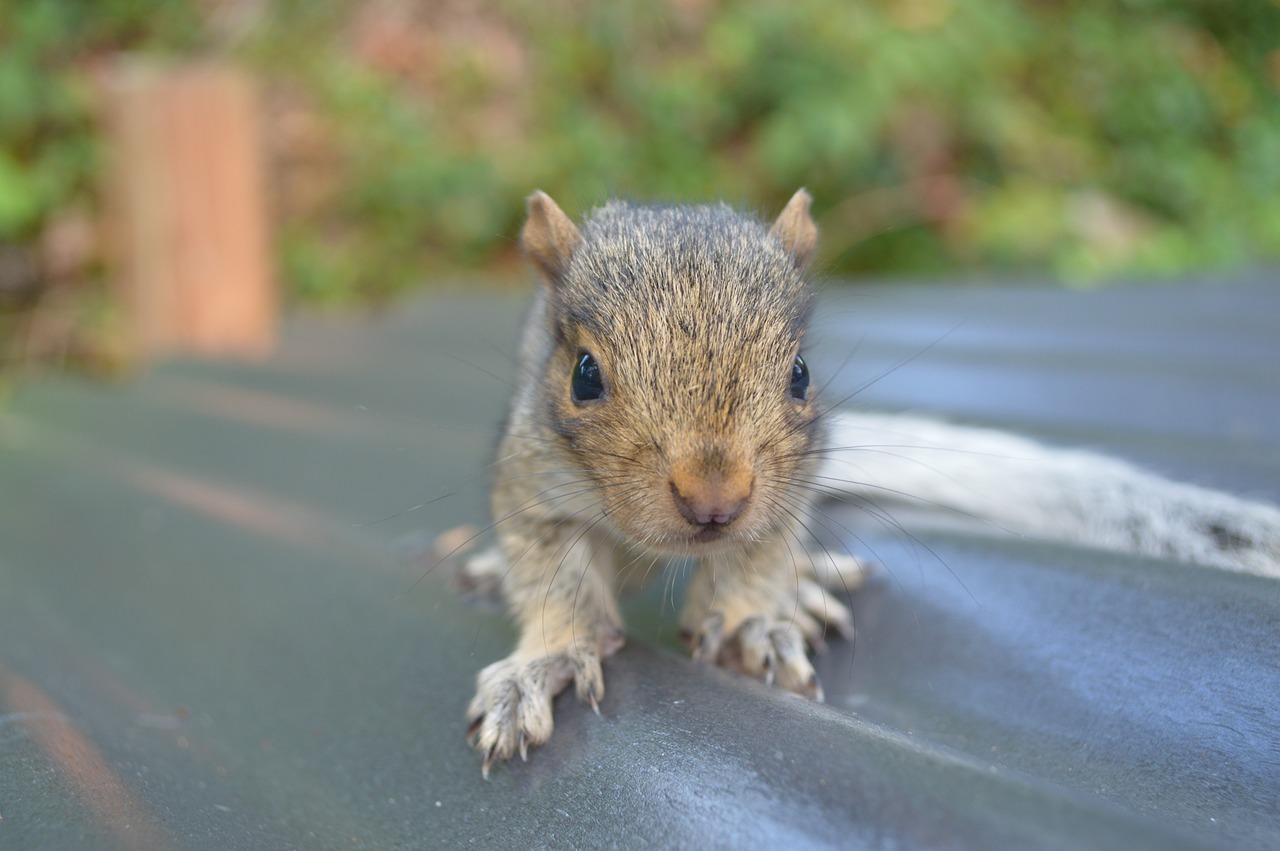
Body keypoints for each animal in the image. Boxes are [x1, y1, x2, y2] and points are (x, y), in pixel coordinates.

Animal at [460, 189, 1280, 772]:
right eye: (583, 376)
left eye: (801, 373)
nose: (714, 499)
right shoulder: (534, 491)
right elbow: (557, 587)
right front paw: (545, 662)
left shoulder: (787, 493)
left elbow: (756, 564)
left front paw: (753, 622)